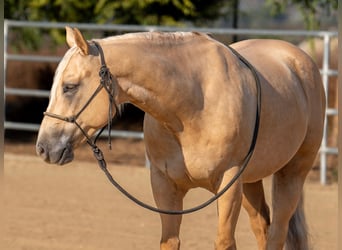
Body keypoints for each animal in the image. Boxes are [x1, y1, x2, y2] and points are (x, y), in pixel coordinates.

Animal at [36, 27, 326, 250]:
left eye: (70, 87)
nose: (44, 148)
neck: (190, 108)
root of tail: (299, 60)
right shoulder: (164, 185)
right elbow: (170, 241)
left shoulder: (229, 183)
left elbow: (224, 242)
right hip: (251, 181)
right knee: (262, 226)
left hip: (292, 173)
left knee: (277, 231)